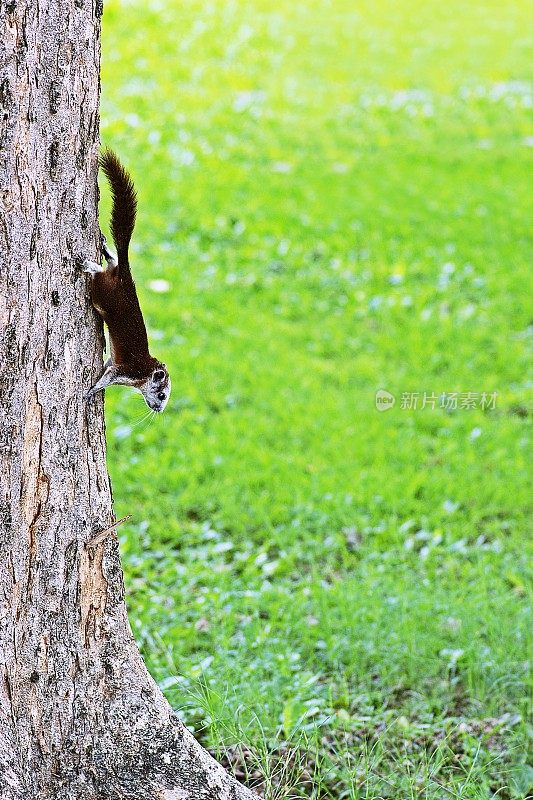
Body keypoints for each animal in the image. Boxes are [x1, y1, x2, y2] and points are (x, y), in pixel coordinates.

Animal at [83, 150, 170, 412]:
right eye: (162, 394)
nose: (159, 410)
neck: (146, 371)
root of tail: (124, 276)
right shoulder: (127, 371)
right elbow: (108, 377)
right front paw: (91, 390)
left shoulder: (117, 364)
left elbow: (107, 365)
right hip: (103, 292)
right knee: (99, 275)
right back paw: (90, 266)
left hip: (111, 274)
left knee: (111, 261)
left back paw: (103, 247)